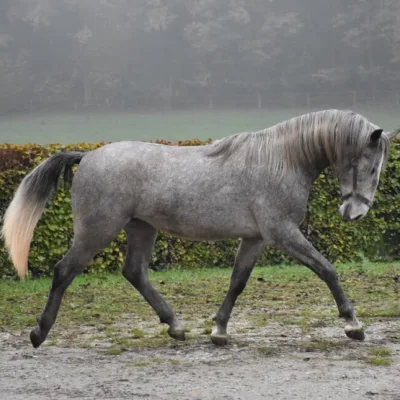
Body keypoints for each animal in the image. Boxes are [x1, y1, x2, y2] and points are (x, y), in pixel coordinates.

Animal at [1, 108, 398, 346]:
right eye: (370, 167)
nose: (354, 213)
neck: (282, 160)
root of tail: (87, 156)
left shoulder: (255, 238)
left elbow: (237, 282)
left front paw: (219, 330)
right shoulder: (283, 233)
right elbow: (327, 270)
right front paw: (353, 324)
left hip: (141, 228)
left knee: (134, 272)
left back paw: (175, 325)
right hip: (96, 231)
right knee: (63, 271)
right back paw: (39, 332)